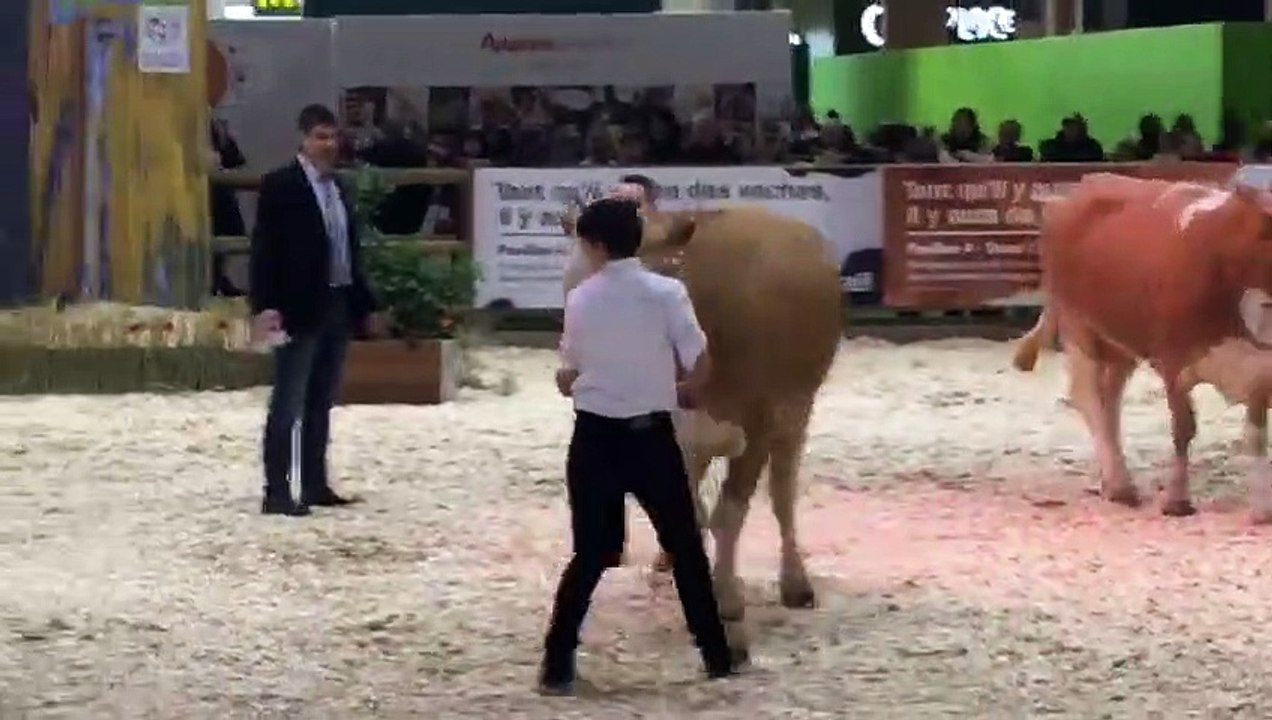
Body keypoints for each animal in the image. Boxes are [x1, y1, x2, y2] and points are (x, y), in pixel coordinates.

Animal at [1011, 173, 1272, 522]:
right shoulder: (1174, 360)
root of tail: (1084, 185)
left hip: (1119, 343)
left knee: (1110, 401)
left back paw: (1113, 481)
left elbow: (1256, 436)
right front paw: (1177, 500)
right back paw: (1121, 484)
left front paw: (1263, 507)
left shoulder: (1259, 369)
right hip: (1078, 325)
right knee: (1088, 397)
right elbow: (1184, 429)